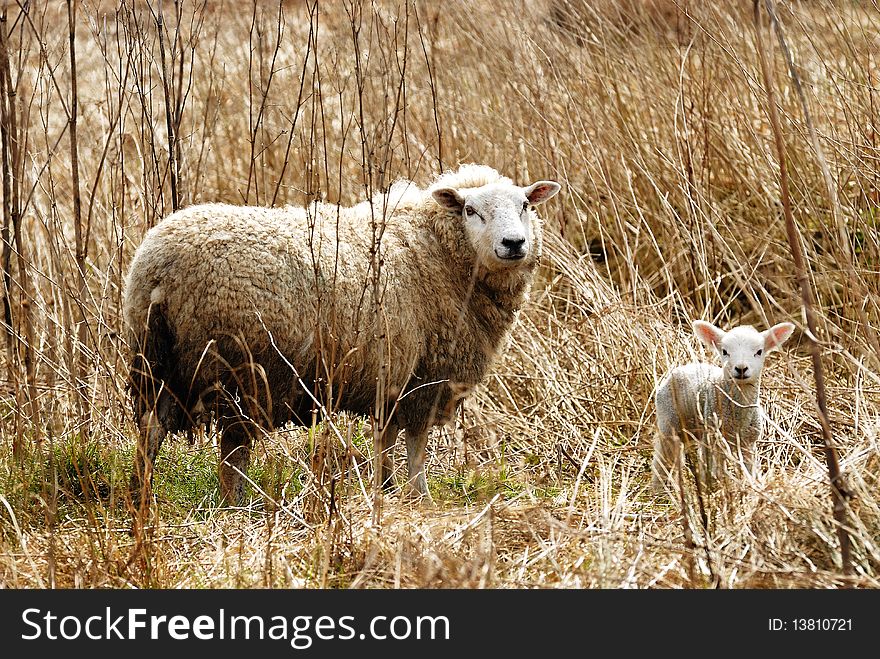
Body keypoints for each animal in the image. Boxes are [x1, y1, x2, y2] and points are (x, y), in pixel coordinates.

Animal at [124, 165, 560, 506]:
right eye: (471, 210)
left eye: (525, 205)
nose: (514, 243)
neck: (435, 250)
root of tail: (158, 272)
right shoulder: (424, 378)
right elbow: (415, 446)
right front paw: (419, 496)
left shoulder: (390, 379)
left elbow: (385, 440)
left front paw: (385, 489)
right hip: (241, 370)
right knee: (233, 452)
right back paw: (239, 505)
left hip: (157, 362)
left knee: (150, 431)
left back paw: (140, 495)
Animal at [648, 318, 796, 492]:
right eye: (725, 351)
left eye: (759, 351)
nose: (741, 368)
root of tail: (682, 368)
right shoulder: (712, 437)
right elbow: (710, 470)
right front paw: (710, 491)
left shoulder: (748, 443)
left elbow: (749, 471)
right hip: (669, 422)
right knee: (662, 458)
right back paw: (657, 489)